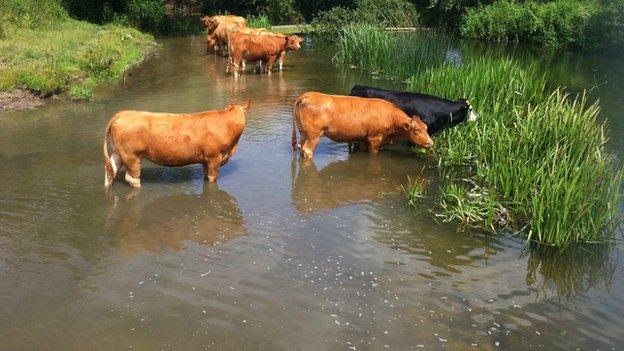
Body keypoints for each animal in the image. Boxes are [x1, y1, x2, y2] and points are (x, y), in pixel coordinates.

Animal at [102, 102, 249, 188]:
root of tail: (122, 113)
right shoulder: (214, 157)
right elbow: (212, 178)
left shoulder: (205, 161)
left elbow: (205, 176)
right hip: (131, 156)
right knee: (132, 178)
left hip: (118, 153)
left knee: (110, 169)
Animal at [292, 93, 434, 160]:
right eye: (416, 130)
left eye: (426, 128)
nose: (430, 143)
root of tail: (309, 94)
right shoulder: (375, 138)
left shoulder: (363, 139)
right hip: (314, 135)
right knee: (307, 150)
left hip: (304, 133)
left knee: (300, 147)